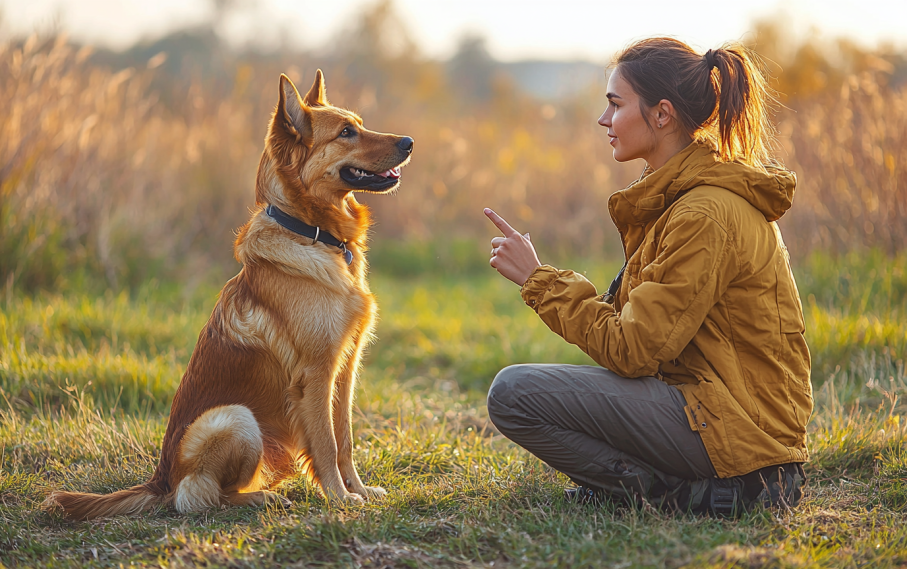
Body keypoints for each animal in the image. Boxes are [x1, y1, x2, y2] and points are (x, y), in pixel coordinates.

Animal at [48, 71, 416, 520]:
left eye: (359, 124)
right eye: (346, 133)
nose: (409, 142)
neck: (311, 233)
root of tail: (159, 481)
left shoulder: (344, 370)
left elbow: (344, 439)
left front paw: (358, 490)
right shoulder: (315, 374)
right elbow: (327, 445)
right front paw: (340, 498)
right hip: (234, 418)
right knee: (200, 497)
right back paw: (262, 498)